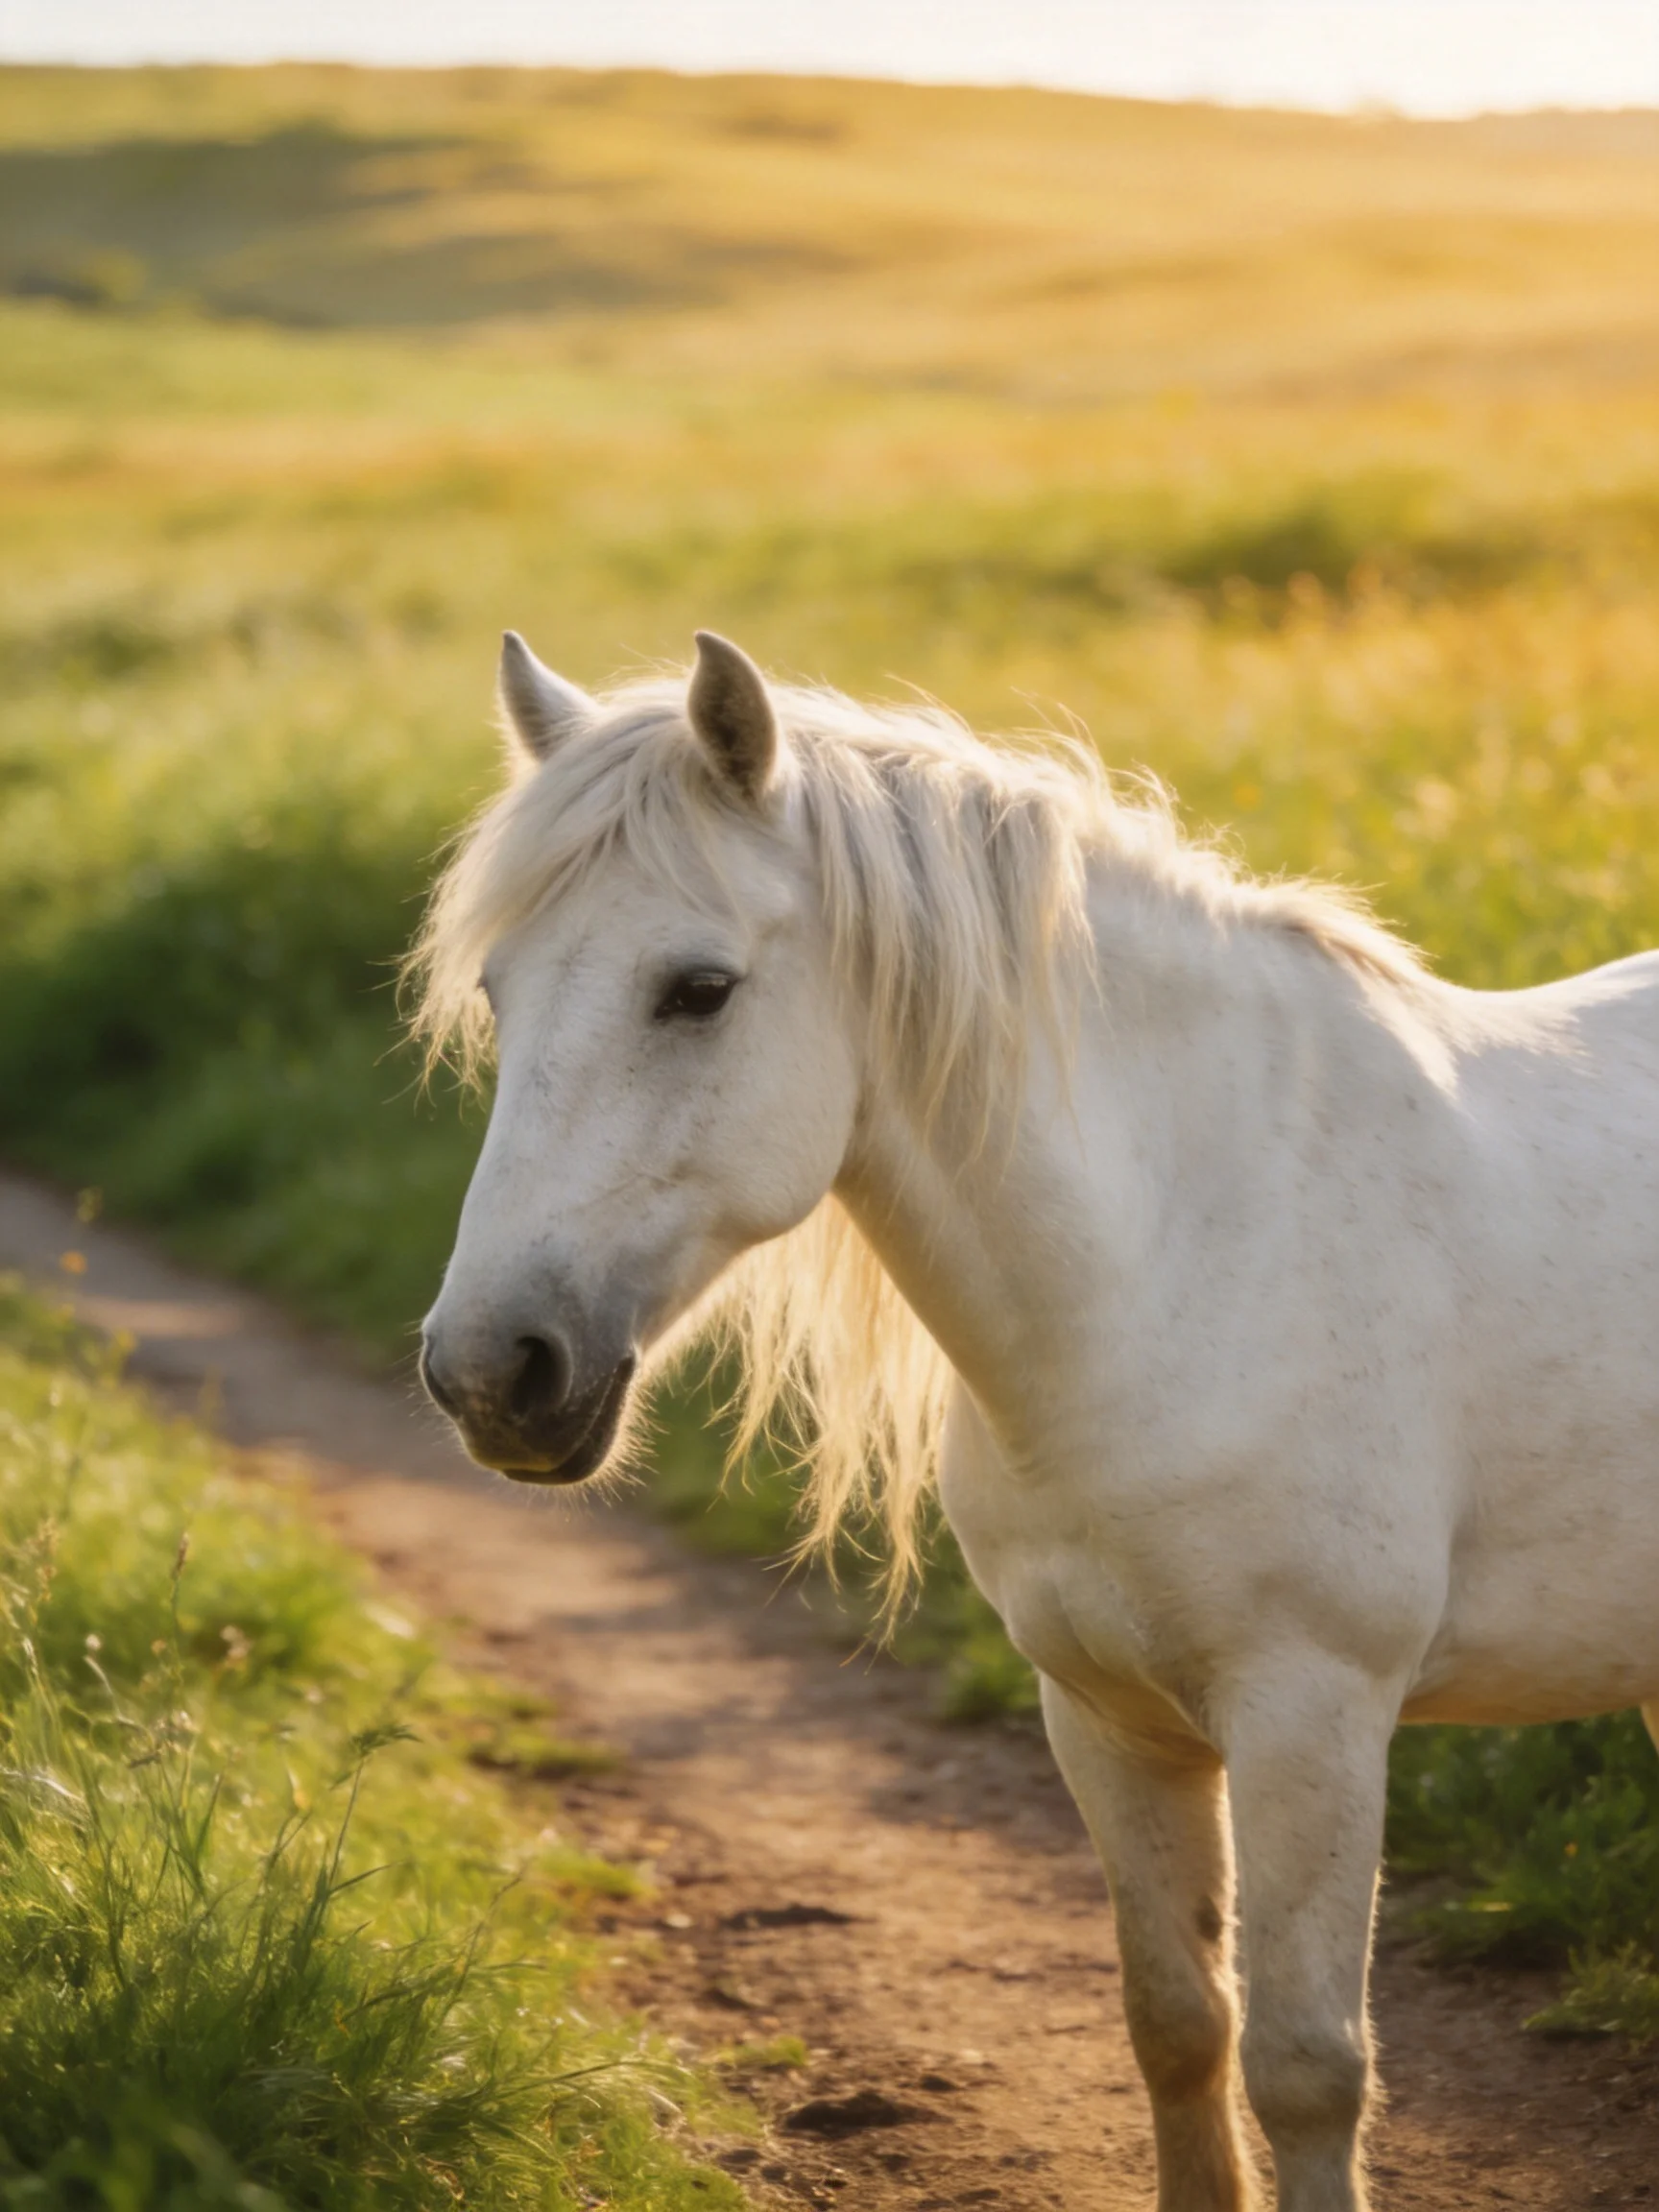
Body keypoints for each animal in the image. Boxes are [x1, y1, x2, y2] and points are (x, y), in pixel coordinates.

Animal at [413, 628, 1659, 2212]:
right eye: (499, 992)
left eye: (695, 989)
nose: (487, 1371)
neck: (1185, 1245)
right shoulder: (1102, 1714)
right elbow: (1178, 2022)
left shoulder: (1312, 1712)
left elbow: (1306, 2065)